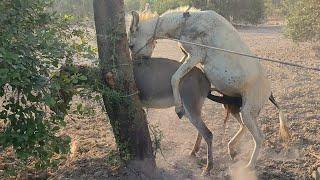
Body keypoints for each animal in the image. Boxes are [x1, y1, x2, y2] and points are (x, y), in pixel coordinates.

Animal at [127, 7, 290, 175]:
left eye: (130, 45)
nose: (137, 63)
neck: (186, 22)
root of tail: (269, 91)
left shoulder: (196, 55)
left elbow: (175, 77)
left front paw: (178, 108)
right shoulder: (189, 57)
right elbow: (178, 69)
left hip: (249, 109)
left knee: (259, 137)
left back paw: (248, 166)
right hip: (238, 106)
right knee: (244, 126)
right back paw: (231, 149)